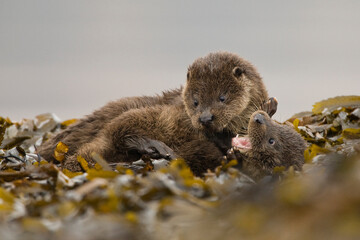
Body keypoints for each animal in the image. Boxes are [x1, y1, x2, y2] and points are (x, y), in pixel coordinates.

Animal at [39, 52, 274, 176]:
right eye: (195, 101)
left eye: (222, 98)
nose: (205, 118)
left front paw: (269, 107)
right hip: (145, 115)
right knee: (118, 132)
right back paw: (155, 149)